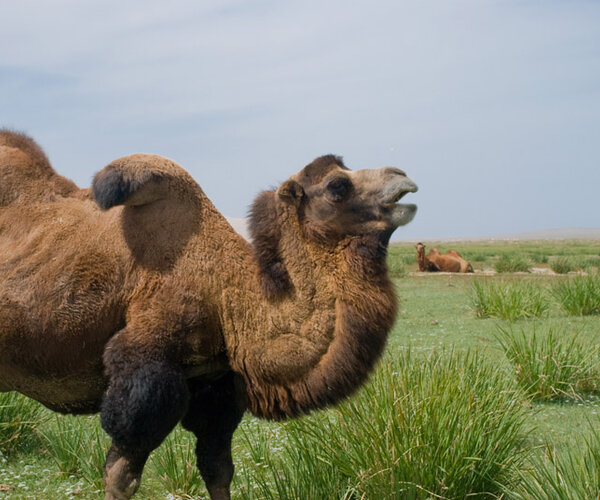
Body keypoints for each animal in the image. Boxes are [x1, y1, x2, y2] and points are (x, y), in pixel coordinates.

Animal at [0, 131, 418, 498]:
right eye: (337, 186)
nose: (404, 178)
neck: (224, 291)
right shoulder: (144, 364)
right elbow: (121, 476)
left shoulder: (215, 383)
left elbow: (218, 470)